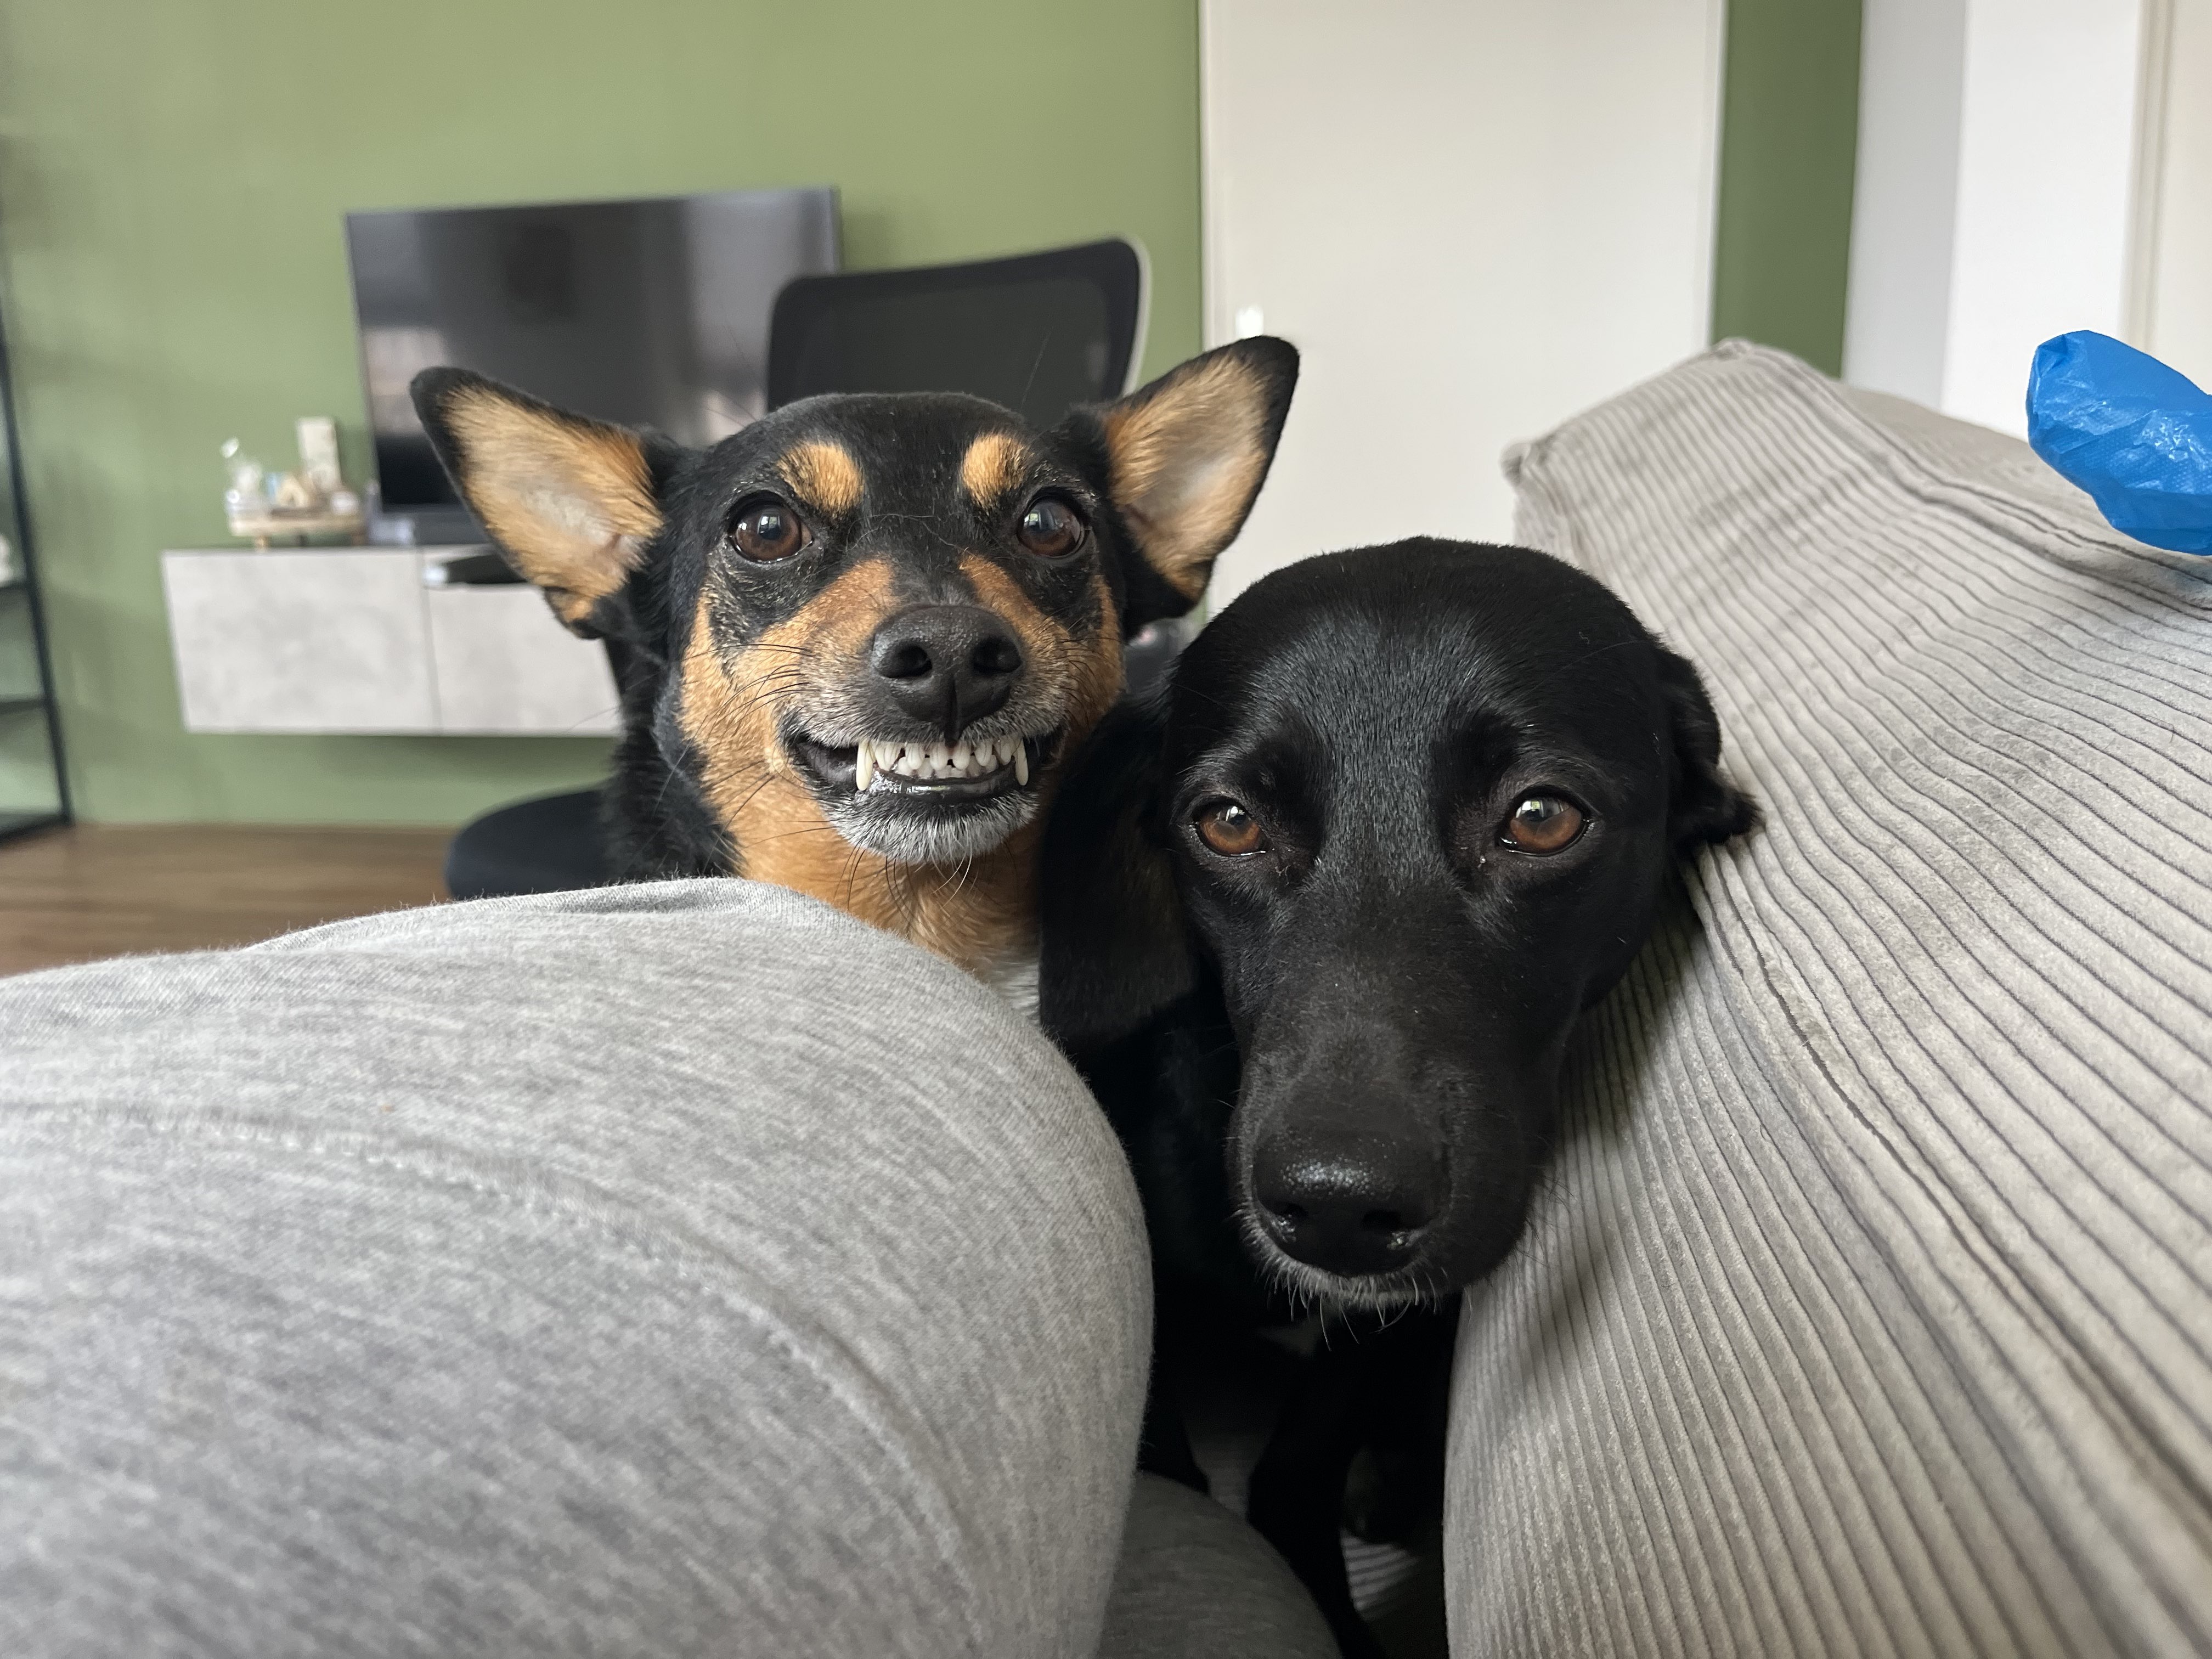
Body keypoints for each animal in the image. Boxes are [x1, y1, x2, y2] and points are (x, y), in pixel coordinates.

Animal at [1039, 539, 1758, 1655]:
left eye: (1541, 817)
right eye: (1228, 822)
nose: (1337, 1205)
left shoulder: (1385, 1329)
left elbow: (1302, 1454)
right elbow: (1168, 1462)